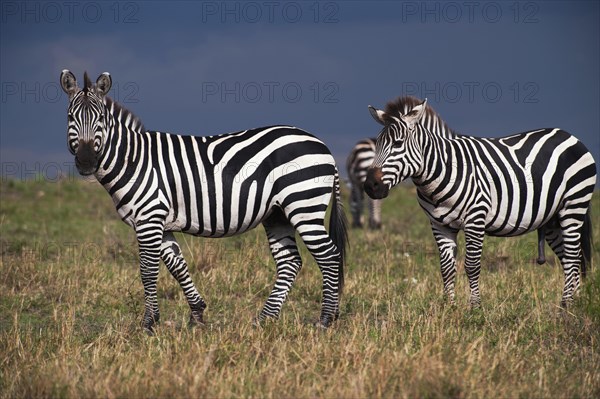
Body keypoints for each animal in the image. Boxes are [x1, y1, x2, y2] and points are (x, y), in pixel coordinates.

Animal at [58, 70, 350, 332]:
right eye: (71, 117)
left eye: (100, 119)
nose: (86, 161)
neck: (134, 160)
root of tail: (322, 145)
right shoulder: (162, 222)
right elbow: (177, 266)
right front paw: (197, 314)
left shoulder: (149, 218)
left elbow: (148, 271)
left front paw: (148, 324)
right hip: (277, 213)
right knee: (290, 262)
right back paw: (263, 320)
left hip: (304, 205)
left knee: (329, 256)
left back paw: (325, 320)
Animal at [364, 97, 596, 310]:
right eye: (377, 144)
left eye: (397, 143)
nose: (370, 186)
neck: (443, 169)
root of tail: (569, 135)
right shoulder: (439, 224)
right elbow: (446, 268)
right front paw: (450, 309)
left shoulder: (475, 217)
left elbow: (472, 265)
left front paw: (475, 309)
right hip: (552, 219)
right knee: (571, 259)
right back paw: (571, 305)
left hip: (573, 206)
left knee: (573, 257)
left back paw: (566, 306)